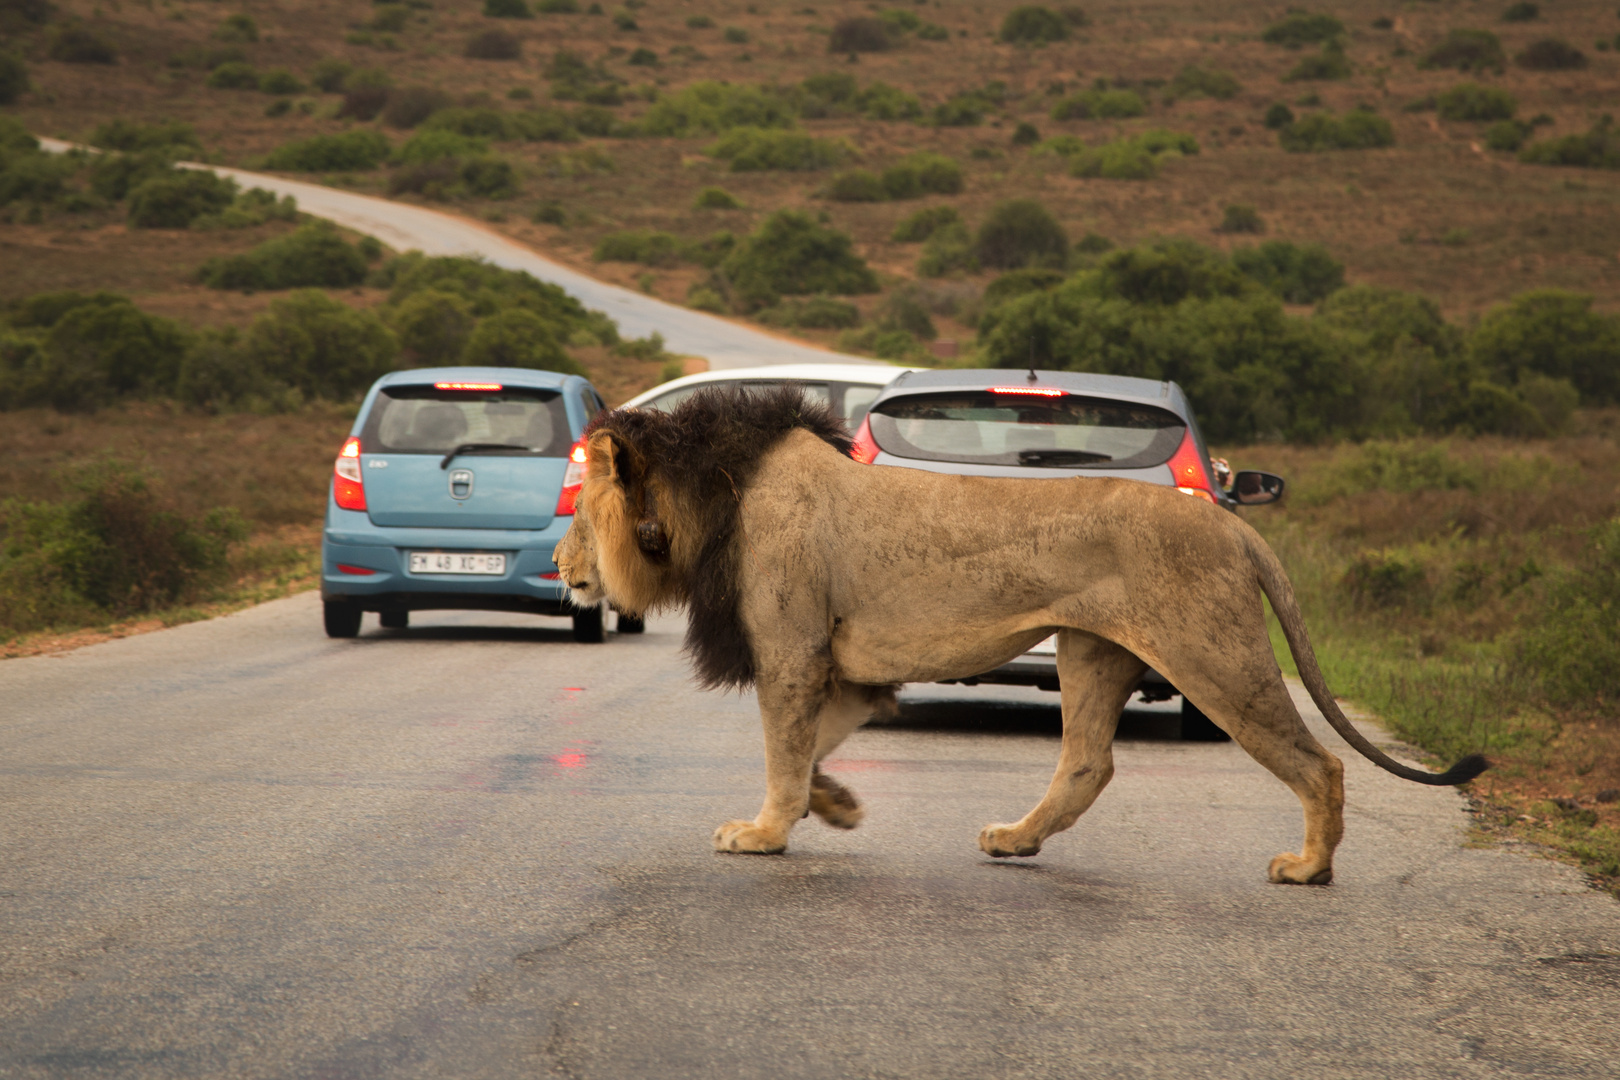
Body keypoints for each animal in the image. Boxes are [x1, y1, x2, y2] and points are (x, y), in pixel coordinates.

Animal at [554, 388, 1483, 887]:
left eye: (579, 510)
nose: (562, 563)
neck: (715, 495)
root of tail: (1231, 524)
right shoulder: (842, 666)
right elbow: (810, 747)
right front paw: (838, 804)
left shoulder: (791, 647)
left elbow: (784, 752)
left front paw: (764, 834)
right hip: (1091, 650)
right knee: (1087, 762)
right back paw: (1014, 839)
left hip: (1212, 654)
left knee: (1318, 761)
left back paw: (1309, 867)